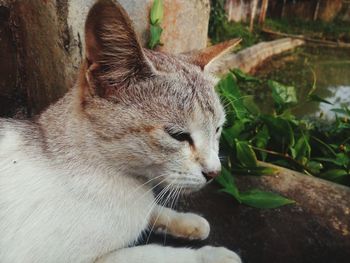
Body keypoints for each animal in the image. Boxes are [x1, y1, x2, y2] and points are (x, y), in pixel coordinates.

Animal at [0, 0, 241, 263]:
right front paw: (211, 254)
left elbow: (154, 211)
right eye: (178, 135)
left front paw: (188, 221)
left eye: (217, 129)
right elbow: (155, 253)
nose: (215, 172)